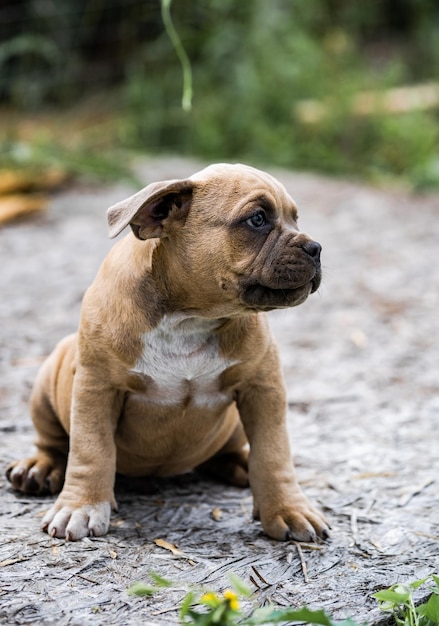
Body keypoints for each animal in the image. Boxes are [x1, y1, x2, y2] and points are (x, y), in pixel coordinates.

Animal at [6, 163, 330, 540]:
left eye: (295, 219)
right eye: (257, 219)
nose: (316, 247)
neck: (188, 318)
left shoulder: (263, 389)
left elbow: (273, 453)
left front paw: (289, 510)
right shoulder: (95, 388)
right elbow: (91, 451)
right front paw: (81, 507)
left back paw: (239, 464)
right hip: (46, 386)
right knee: (53, 443)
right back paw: (39, 468)